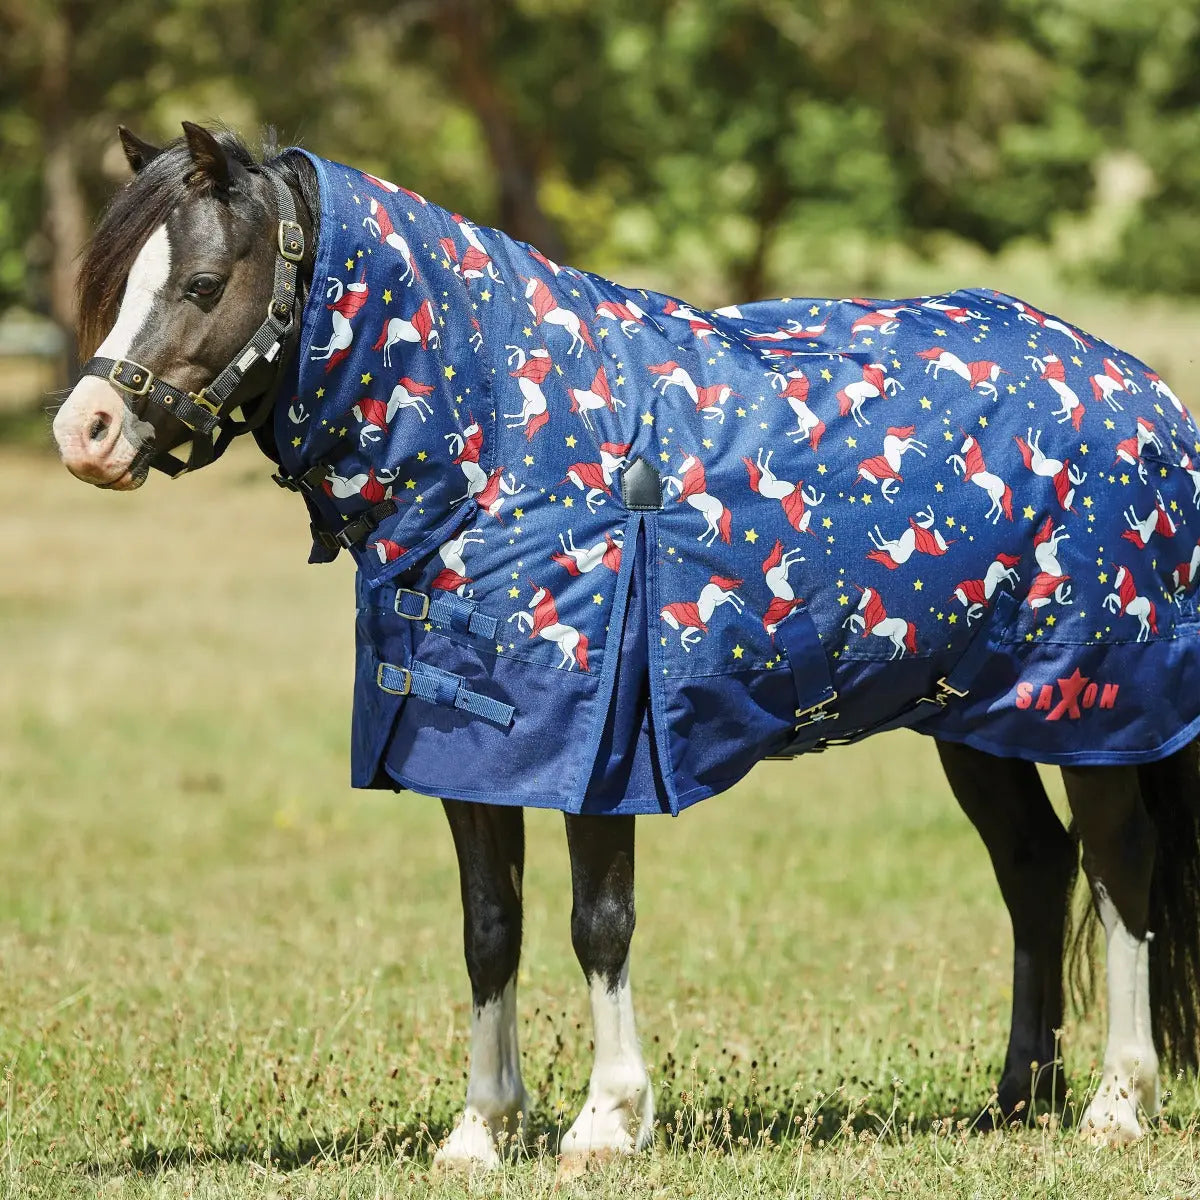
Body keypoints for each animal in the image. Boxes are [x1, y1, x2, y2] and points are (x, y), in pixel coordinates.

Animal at [52, 123, 1200, 1167]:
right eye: (114, 284)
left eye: (202, 281)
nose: (85, 432)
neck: (505, 446)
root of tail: (1143, 393)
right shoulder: (471, 750)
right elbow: (490, 927)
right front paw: (481, 1130)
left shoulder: (599, 754)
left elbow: (597, 921)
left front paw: (606, 1121)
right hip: (978, 716)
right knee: (1035, 867)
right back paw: (1019, 1097)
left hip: (1097, 709)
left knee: (1119, 866)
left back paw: (1116, 1104)